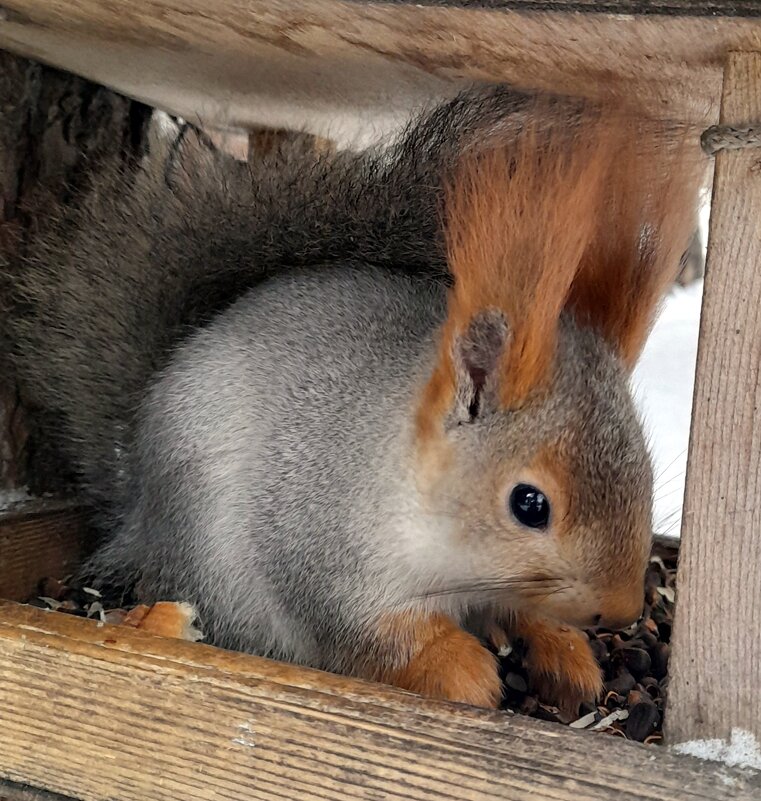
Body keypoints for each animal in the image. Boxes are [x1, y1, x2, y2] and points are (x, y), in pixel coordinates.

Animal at [2, 87, 704, 708]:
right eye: (529, 504)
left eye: (646, 472)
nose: (619, 610)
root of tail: (137, 512)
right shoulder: (317, 543)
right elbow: (375, 634)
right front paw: (463, 669)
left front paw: (565, 653)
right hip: (210, 558)